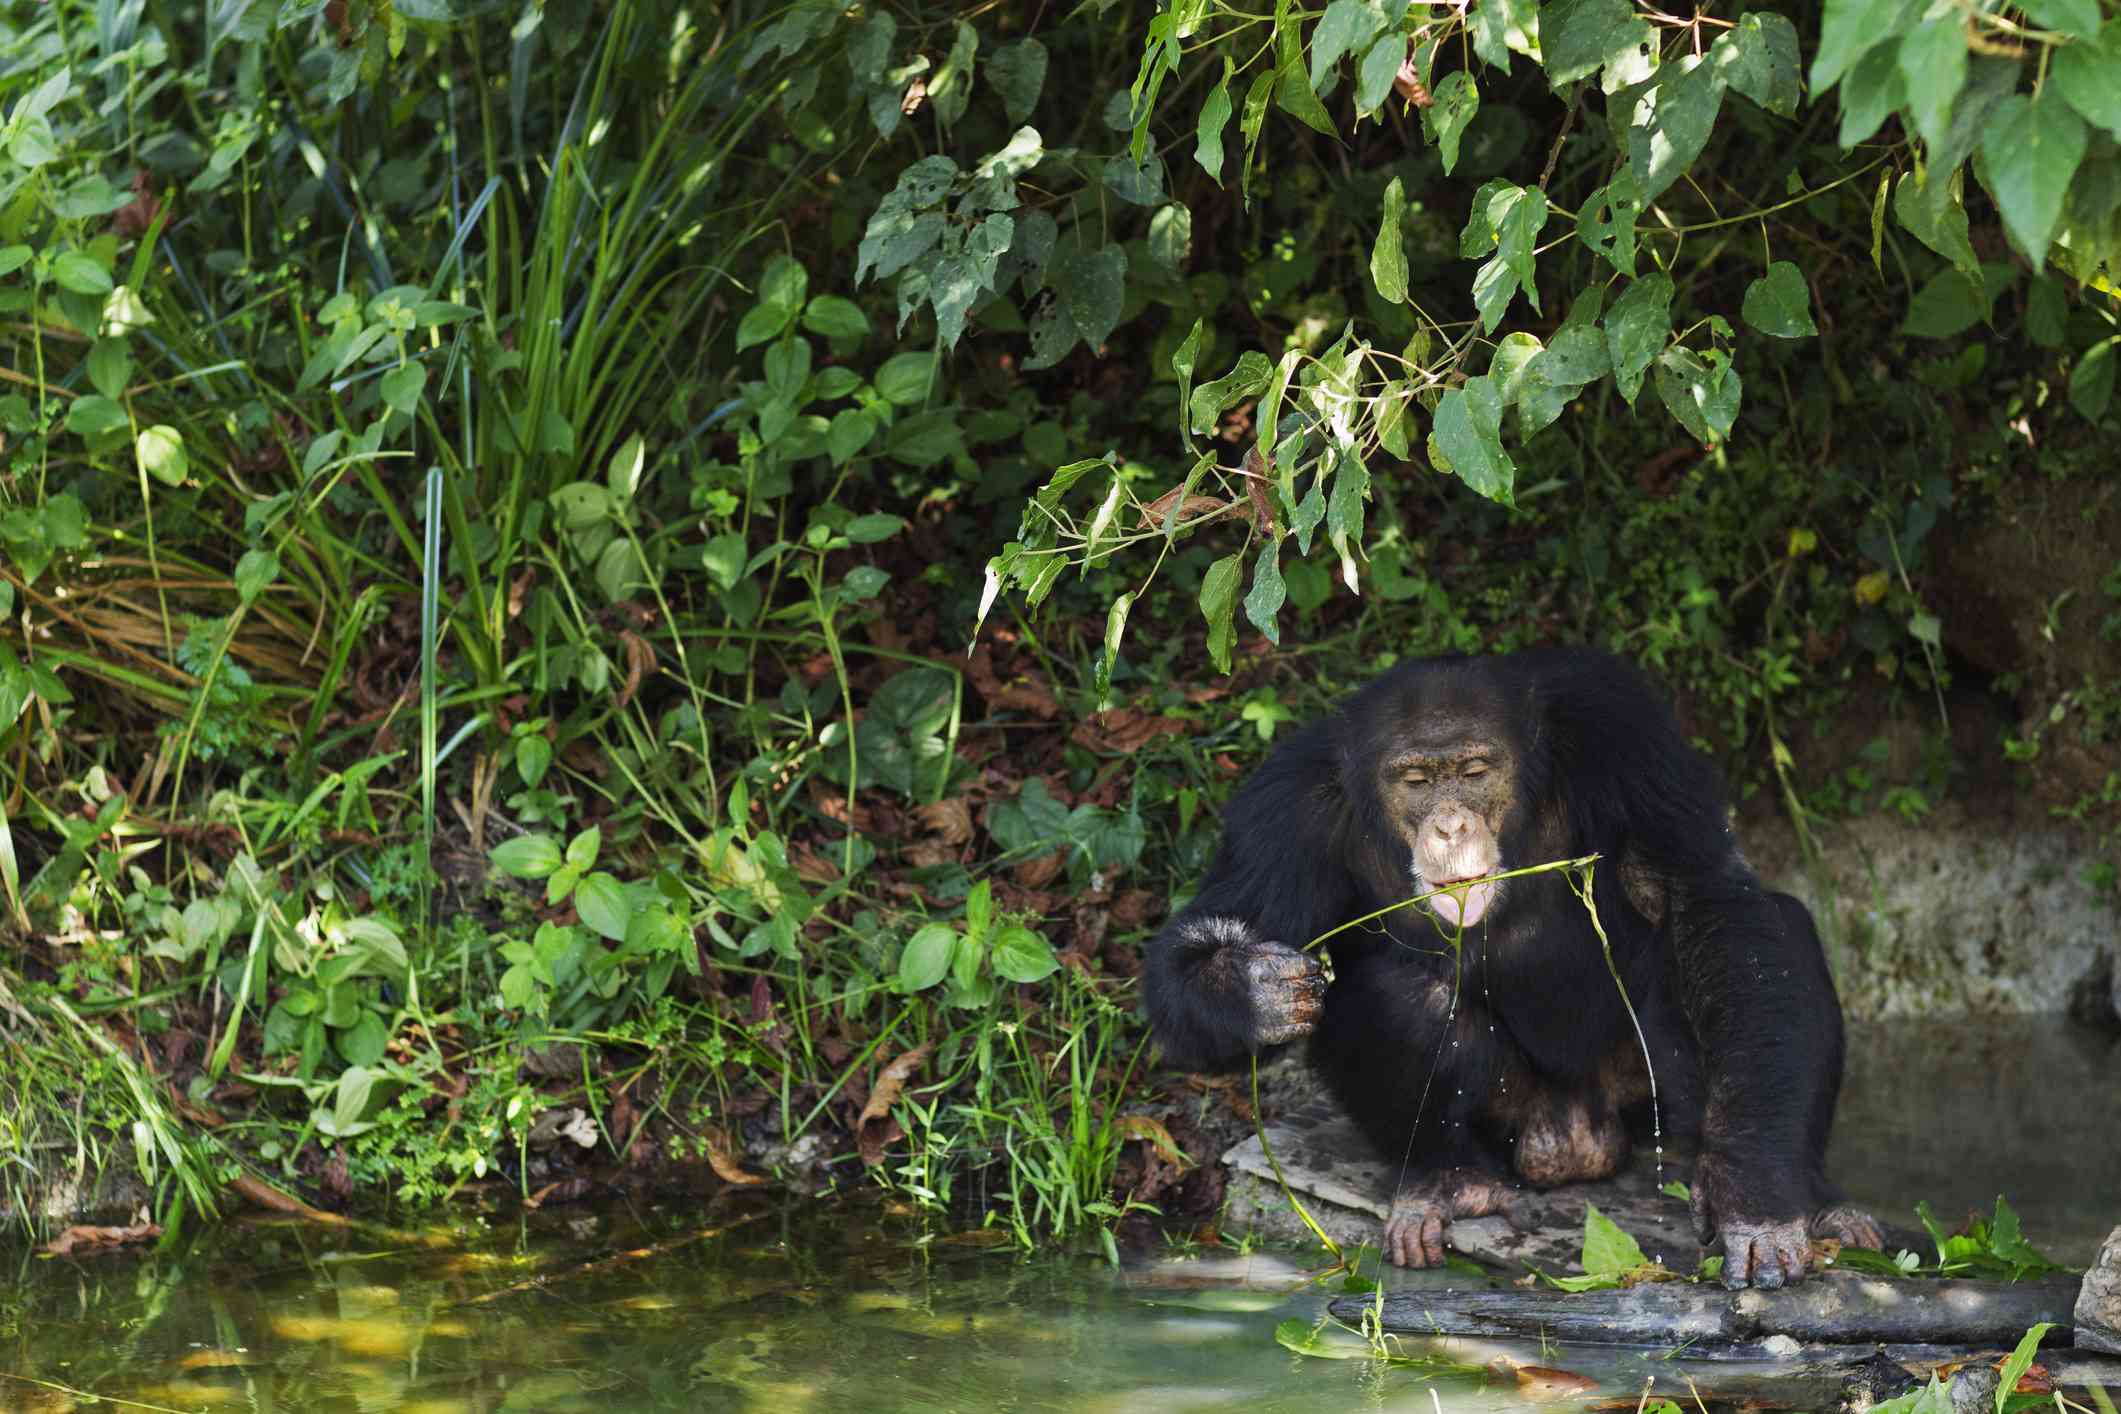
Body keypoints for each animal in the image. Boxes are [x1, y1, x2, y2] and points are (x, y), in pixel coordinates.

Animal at [1153, 648, 1883, 1288]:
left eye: (1475, 770)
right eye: (1415, 781)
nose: (1449, 825)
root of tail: (1573, 1139)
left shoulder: (1626, 732)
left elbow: (1708, 897)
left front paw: (1752, 1201)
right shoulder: (1280, 812)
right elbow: (1204, 940)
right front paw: (1255, 989)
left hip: (1640, 1096)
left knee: (1767, 930)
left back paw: (1814, 1202)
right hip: (1511, 1115)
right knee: (1385, 986)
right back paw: (1448, 1184)